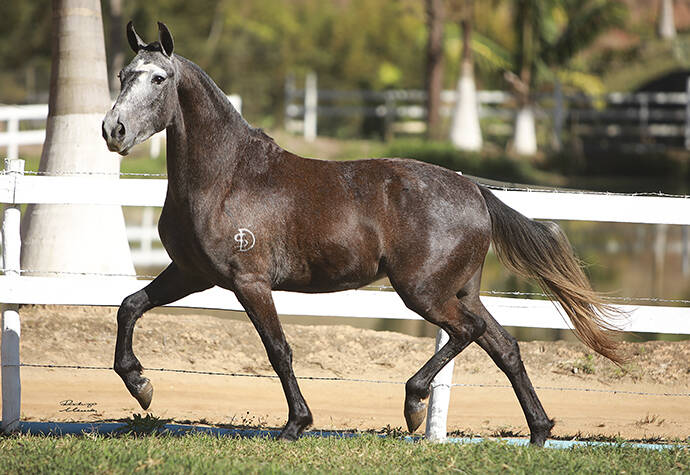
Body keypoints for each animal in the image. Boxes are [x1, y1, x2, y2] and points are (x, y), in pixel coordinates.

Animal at [103, 22, 624, 446]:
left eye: (159, 78)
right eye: (123, 75)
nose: (114, 130)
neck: (226, 177)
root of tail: (476, 191)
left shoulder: (248, 283)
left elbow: (278, 350)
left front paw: (295, 425)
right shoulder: (191, 273)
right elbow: (129, 306)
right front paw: (141, 386)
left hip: (423, 291)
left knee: (469, 332)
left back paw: (415, 406)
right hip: (460, 290)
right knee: (504, 347)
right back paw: (538, 431)